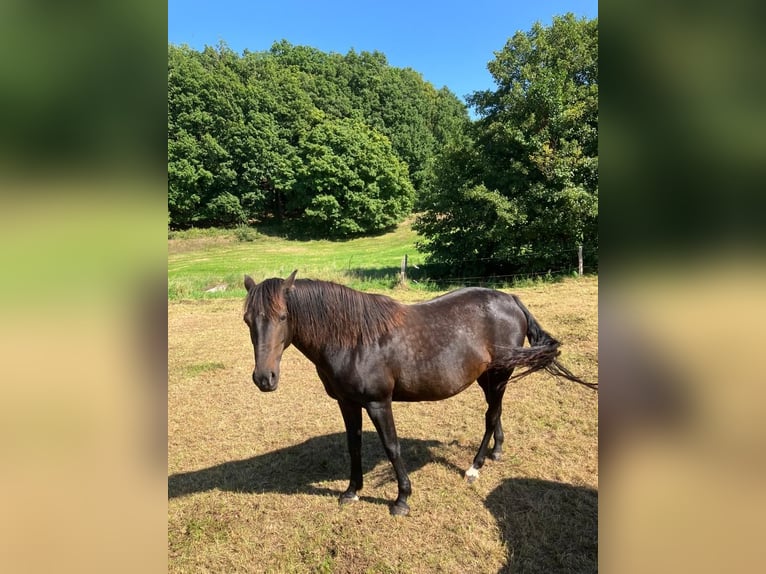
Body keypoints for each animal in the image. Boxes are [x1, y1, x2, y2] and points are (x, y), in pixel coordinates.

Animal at [243, 270, 596, 516]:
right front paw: (351, 491)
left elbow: (392, 447)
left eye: (283, 317)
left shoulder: (378, 403)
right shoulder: (347, 403)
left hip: (498, 376)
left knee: (490, 414)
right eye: (247, 320)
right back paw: (496, 451)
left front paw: (402, 499)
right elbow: (353, 446)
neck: (352, 338)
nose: (264, 378)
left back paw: (475, 466)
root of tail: (510, 299)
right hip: (487, 378)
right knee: (496, 412)